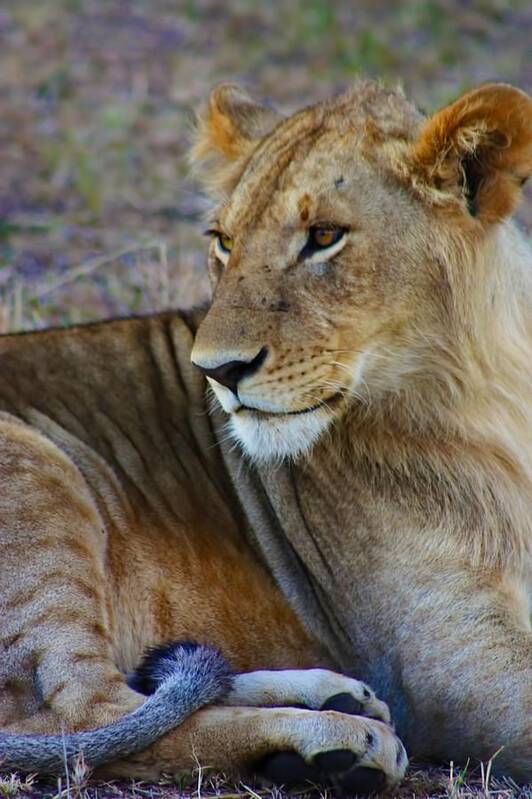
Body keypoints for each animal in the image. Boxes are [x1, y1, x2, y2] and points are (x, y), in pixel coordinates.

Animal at [0, 78, 528, 792]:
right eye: (224, 240)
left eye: (325, 236)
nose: (216, 370)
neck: (487, 397)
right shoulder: (459, 673)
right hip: (36, 473)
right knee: (83, 719)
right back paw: (334, 741)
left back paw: (331, 696)